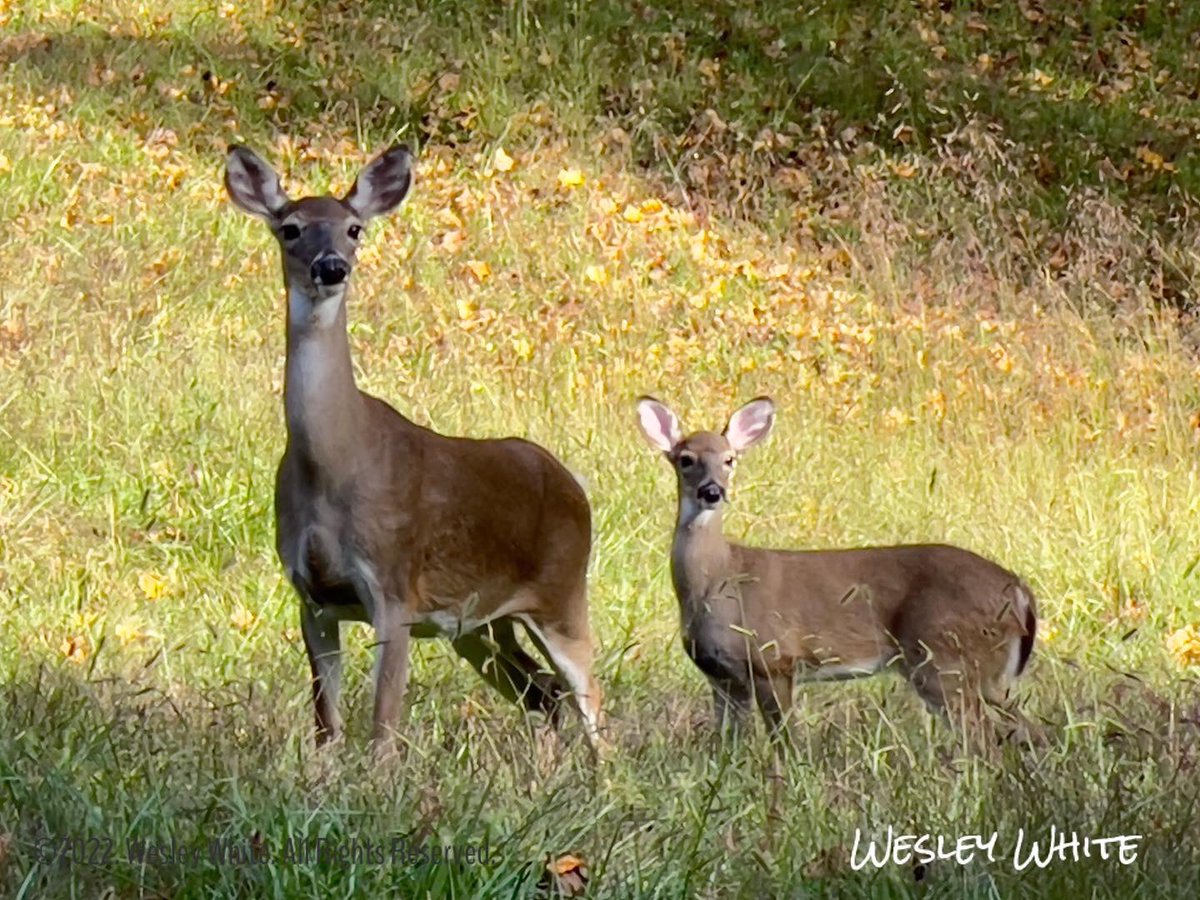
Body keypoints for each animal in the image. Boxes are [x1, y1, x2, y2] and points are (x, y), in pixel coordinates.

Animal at [223, 143, 602, 754]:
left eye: (354, 228)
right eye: (290, 228)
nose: (332, 266)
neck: (335, 464)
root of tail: (573, 484)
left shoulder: (394, 589)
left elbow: (383, 732)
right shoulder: (312, 597)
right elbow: (327, 727)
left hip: (562, 594)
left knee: (590, 700)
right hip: (480, 624)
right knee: (543, 693)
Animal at [635, 395, 1037, 749]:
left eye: (729, 459)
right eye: (686, 459)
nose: (712, 492)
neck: (717, 580)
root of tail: (1018, 590)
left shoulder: (773, 659)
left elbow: (786, 744)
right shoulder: (722, 678)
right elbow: (725, 747)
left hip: (945, 658)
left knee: (985, 742)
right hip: (987, 677)